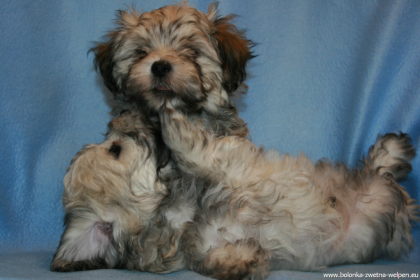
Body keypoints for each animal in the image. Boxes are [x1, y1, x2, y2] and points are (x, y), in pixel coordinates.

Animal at [158, 105, 420, 280]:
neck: (198, 212)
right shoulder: (205, 248)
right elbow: (218, 260)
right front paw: (248, 256)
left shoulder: (230, 165)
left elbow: (197, 153)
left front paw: (171, 122)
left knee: (376, 169)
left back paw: (393, 149)